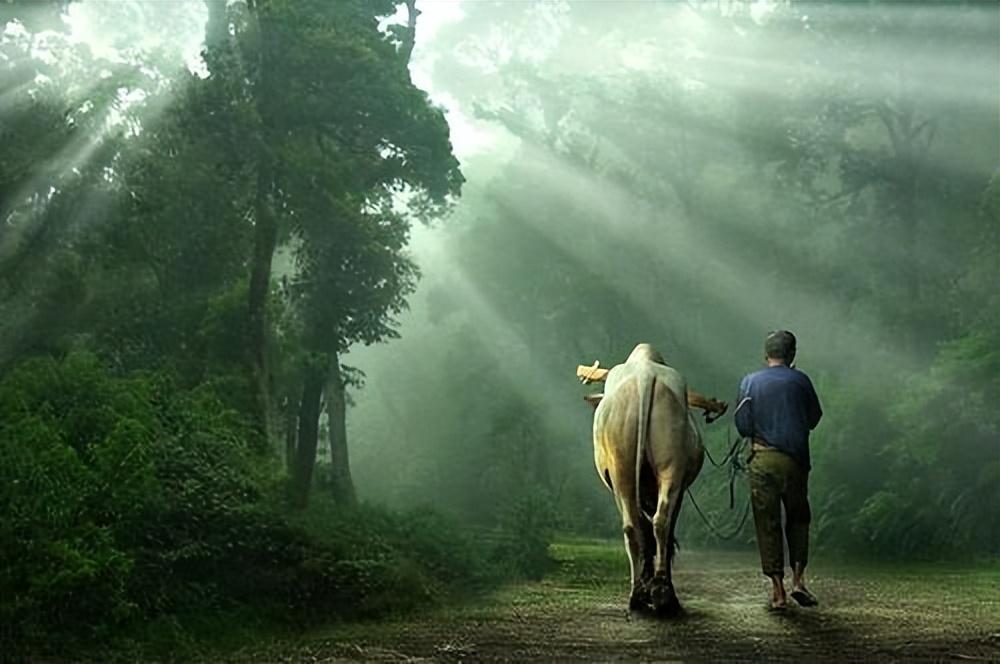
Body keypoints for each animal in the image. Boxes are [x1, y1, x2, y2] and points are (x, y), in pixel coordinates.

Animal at [584, 344, 720, 616]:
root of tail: (645, 375)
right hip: (667, 469)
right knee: (656, 522)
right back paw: (657, 592)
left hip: (628, 469)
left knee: (641, 524)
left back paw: (646, 593)